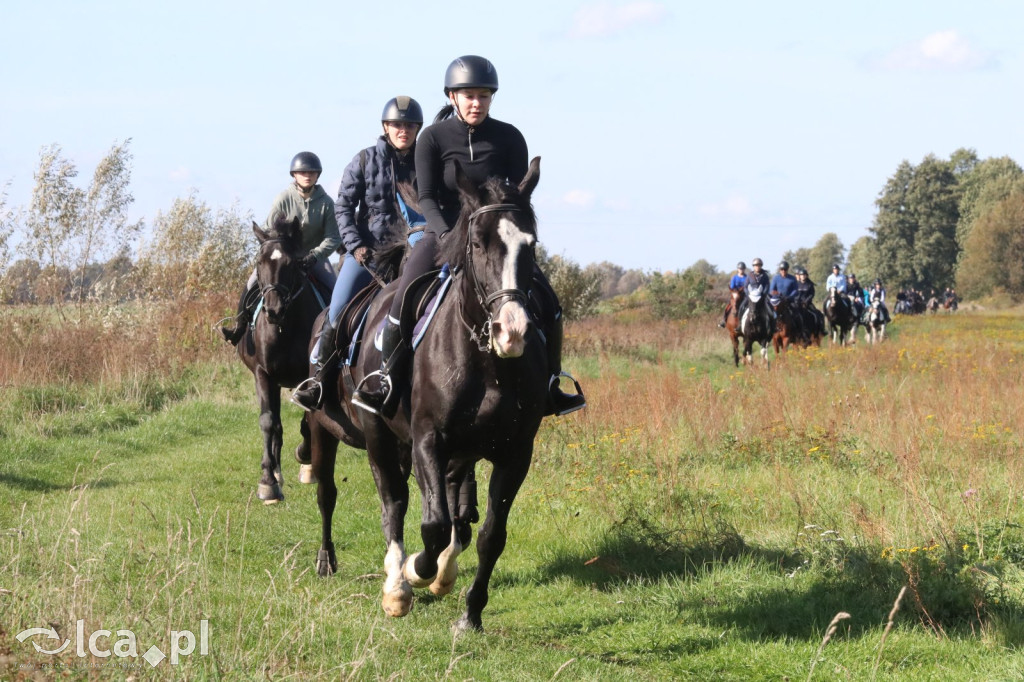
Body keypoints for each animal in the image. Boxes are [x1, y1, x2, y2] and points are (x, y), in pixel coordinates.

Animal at [236, 215, 323, 501]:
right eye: (258, 262)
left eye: (291, 263)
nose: (273, 309)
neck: (284, 328)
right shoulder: (263, 375)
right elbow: (267, 422)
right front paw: (267, 481)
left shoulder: (308, 375)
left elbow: (308, 418)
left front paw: (306, 459)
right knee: (275, 424)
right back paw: (275, 471)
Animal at [307, 156, 552, 630]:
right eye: (477, 242)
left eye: (530, 244)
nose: (511, 332)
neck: (486, 364)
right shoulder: (427, 439)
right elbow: (432, 525)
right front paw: (415, 573)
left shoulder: (514, 452)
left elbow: (489, 533)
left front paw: (470, 613)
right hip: (354, 432)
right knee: (374, 500)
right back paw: (375, 579)